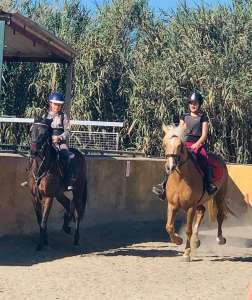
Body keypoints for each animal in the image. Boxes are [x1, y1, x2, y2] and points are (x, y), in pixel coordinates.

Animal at [27, 118, 87, 251]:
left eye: (44, 134)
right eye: (31, 131)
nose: (33, 151)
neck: (41, 169)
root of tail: (80, 155)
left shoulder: (48, 197)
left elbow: (44, 221)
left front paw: (41, 244)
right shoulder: (34, 197)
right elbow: (39, 220)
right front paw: (45, 240)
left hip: (78, 191)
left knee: (77, 212)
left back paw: (76, 239)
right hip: (59, 193)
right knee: (68, 204)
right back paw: (66, 227)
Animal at [162, 123, 233, 260]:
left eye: (180, 145)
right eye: (164, 144)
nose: (170, 167)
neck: (180, 179)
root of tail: (219, 158)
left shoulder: (190, 207)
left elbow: (188, 229)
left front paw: (186, 253)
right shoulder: (172, 205)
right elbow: (168, 227)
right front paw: (178, 240)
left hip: (219, 196)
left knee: (220, 215)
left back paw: (220, 239)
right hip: (200, 202)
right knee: (202, 211)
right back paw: (196, 240)